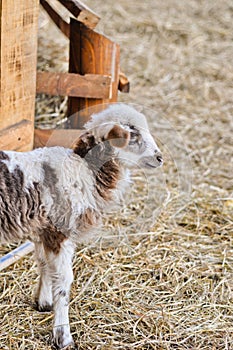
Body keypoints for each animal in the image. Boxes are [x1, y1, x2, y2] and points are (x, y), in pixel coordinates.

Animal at [0, 103, 164, 348]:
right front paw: (63, 336)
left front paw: (43, 302)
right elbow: (64, 281)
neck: (85, 171)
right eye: (132, 135)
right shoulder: (60, 233)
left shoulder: (44, 230)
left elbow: (43, 264)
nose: (159, 157)